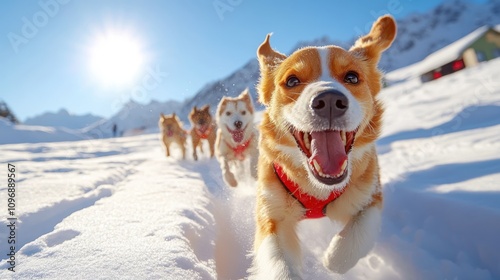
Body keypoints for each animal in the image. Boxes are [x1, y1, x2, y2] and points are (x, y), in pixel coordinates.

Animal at [252, 15, 396, 278]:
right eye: (292, 80)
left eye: (352, 77)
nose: (329, 100)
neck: (318, 188)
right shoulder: (272, 215)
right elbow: (280, 265)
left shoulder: (370, 192)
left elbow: (360, 233)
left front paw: (333, 259)